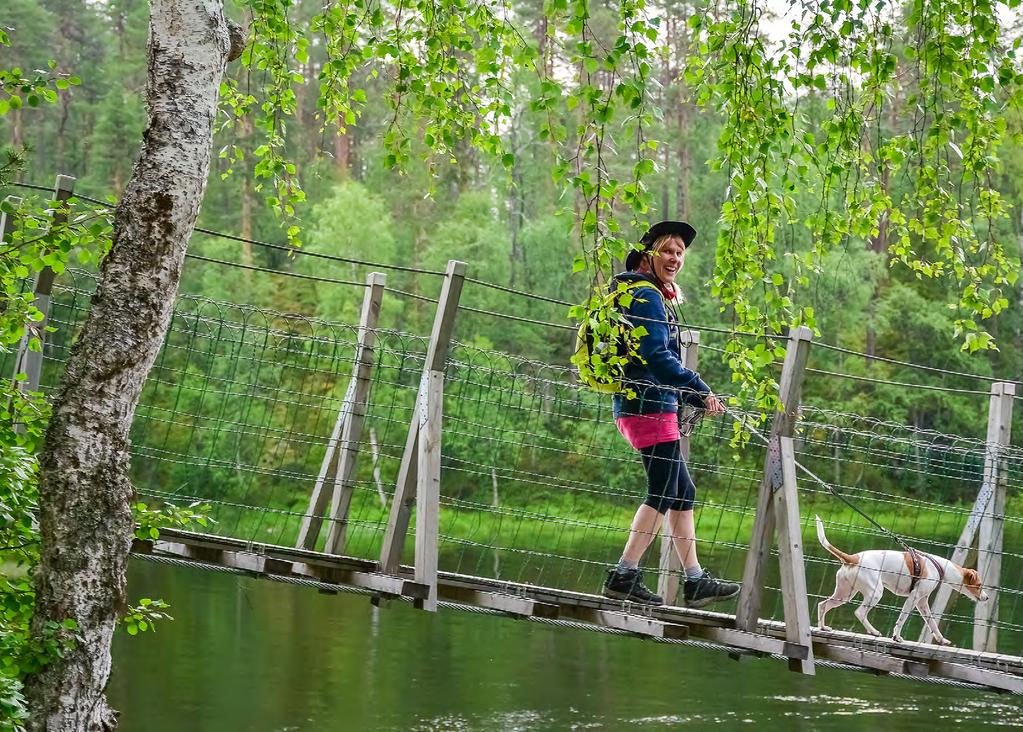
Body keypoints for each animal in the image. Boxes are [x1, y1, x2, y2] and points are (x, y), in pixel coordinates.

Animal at [814, 515, 982, 646]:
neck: (939, 566)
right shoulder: (913, 598)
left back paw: (823, 627)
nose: (986, 597)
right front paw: (897, 637)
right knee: (859, 612)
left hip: (844, 595)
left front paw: (941, 640)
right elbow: (902, 618)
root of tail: (853, 558)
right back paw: (873, 631)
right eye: (979, 585)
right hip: (875, 593)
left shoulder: (922, 602)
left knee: (823, 605)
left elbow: (932, 623)